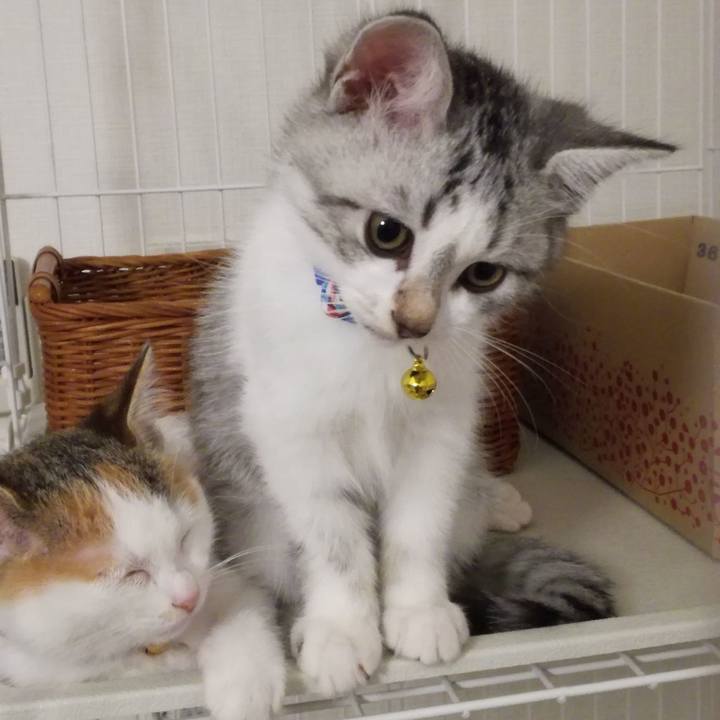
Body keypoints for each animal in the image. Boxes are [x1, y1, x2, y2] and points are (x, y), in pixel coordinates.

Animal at [0, 346, 285, 720]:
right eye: (129, 574)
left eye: (185, 537)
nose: (189, 597)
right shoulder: (32, 667)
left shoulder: (224, 572)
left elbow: (244, 606)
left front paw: (246, 685)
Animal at [190, 10, 673, 700]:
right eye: (386, 233)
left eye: (484, 275)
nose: (414, 319)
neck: (371, 357)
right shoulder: (288, 427)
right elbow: (332, 534)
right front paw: (342, 629)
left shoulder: (443, 426)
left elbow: (419, 522)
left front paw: (419, 610)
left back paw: (496, 500)